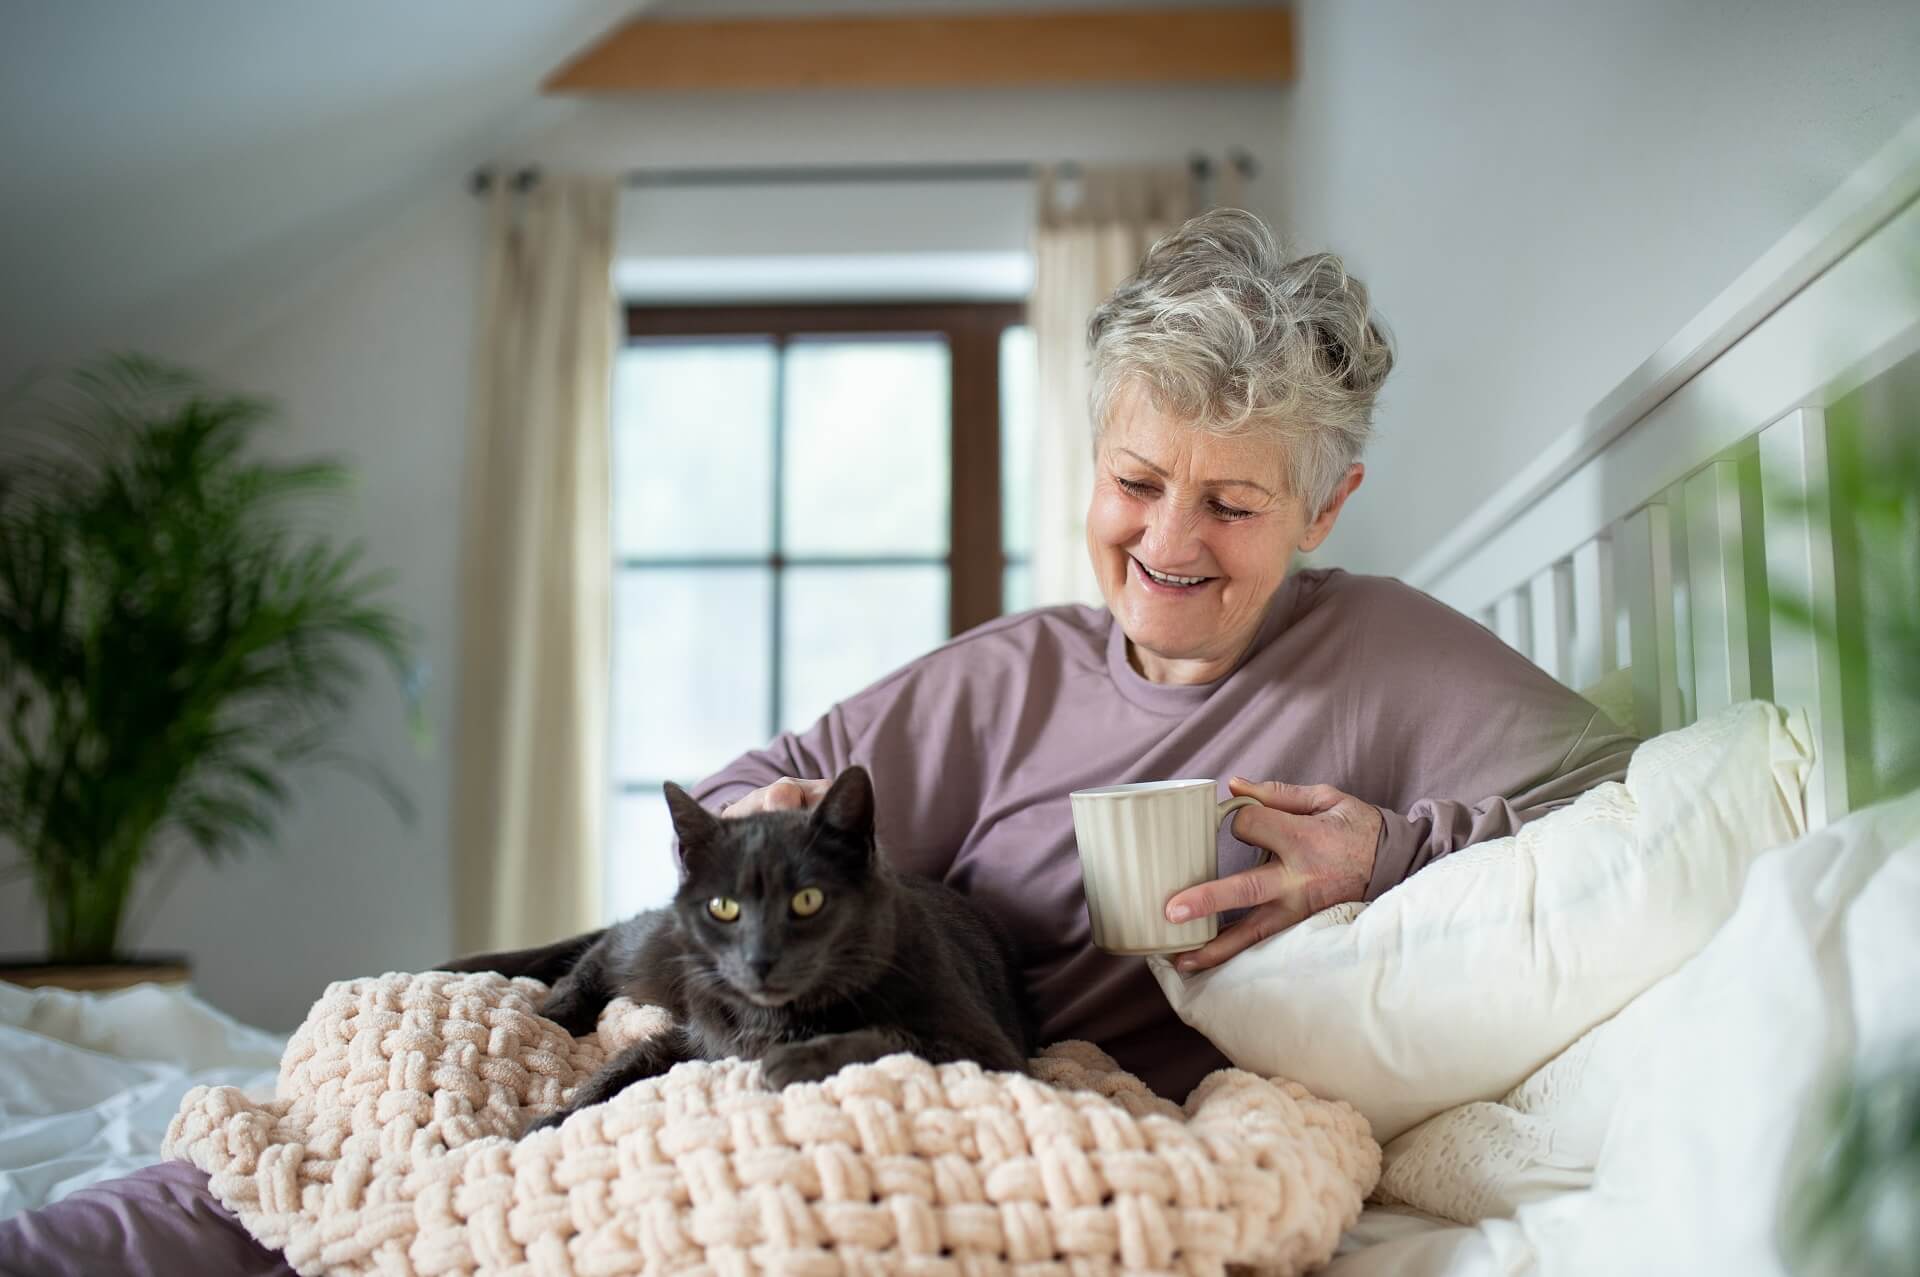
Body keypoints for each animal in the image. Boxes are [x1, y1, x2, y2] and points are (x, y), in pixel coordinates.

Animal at [439, 760, 1036, 1129]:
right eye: (724, 907)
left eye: (808, 900)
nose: (759, 958)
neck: (775, 1018)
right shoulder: (694, 1039)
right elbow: (618, 1072)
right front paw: (548, 1123)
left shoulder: (987, 1048)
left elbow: (893, 1037)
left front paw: (791, 1062)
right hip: (659, 952)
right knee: (602, 949)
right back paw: (557, 1011)